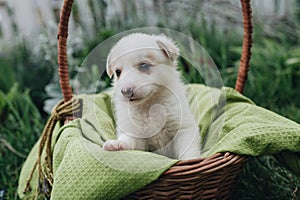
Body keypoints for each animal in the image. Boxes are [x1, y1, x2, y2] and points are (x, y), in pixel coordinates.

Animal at [102, 33, 200, 161]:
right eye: (118, 72)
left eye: (143, 65)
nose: (126, 91)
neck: (149, 104)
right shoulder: (137, 135)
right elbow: (128, 138)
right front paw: (116, 144)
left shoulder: (184, 129)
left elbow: (188, 149)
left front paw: (191, 160)